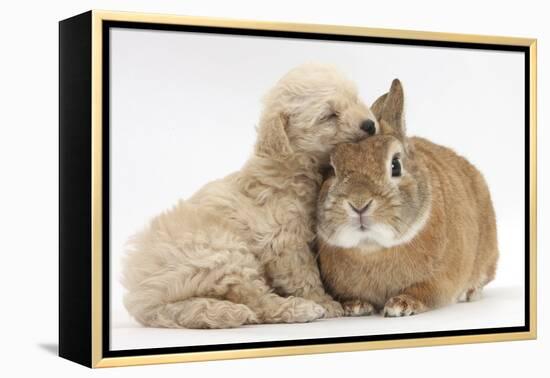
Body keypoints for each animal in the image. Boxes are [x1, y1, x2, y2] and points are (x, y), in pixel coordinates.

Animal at [122, 64, 378, 328]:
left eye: (355, 99)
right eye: (329, 115)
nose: (370, 125)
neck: (292, 167)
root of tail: (142, 298)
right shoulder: (283, 239)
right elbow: (302, 274)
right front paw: (324, 301)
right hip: (222, 252)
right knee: (256, 299)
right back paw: (301, 308)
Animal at [314, 79, 500, 316]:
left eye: (395, 165)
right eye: (331, 169)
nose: (359, 203)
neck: (372, 248)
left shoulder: (438, 280)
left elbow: (424, 292)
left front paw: (401, 305)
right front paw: (354, 306)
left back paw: (470, 292)